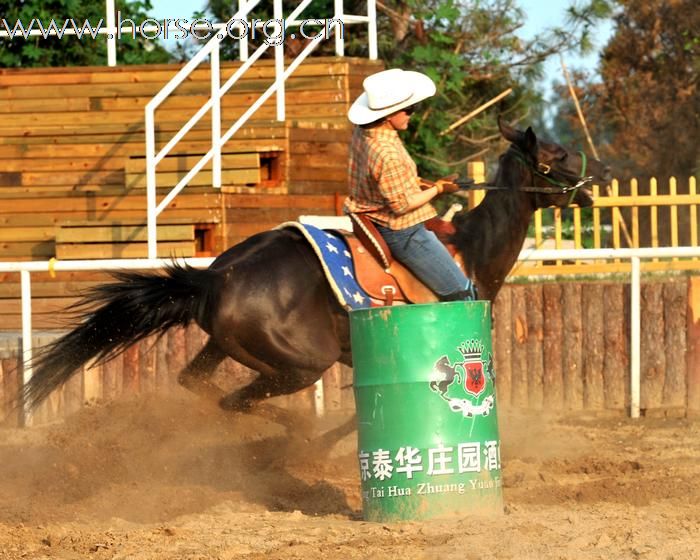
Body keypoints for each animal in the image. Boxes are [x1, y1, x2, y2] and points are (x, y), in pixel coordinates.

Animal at [21, 118, 608, 418]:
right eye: (557, 155)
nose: (600, 174)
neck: (471, 246)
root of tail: (215, 277)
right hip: (300, 365)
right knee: (238, 401)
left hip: (230, 348)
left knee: (201, 386)